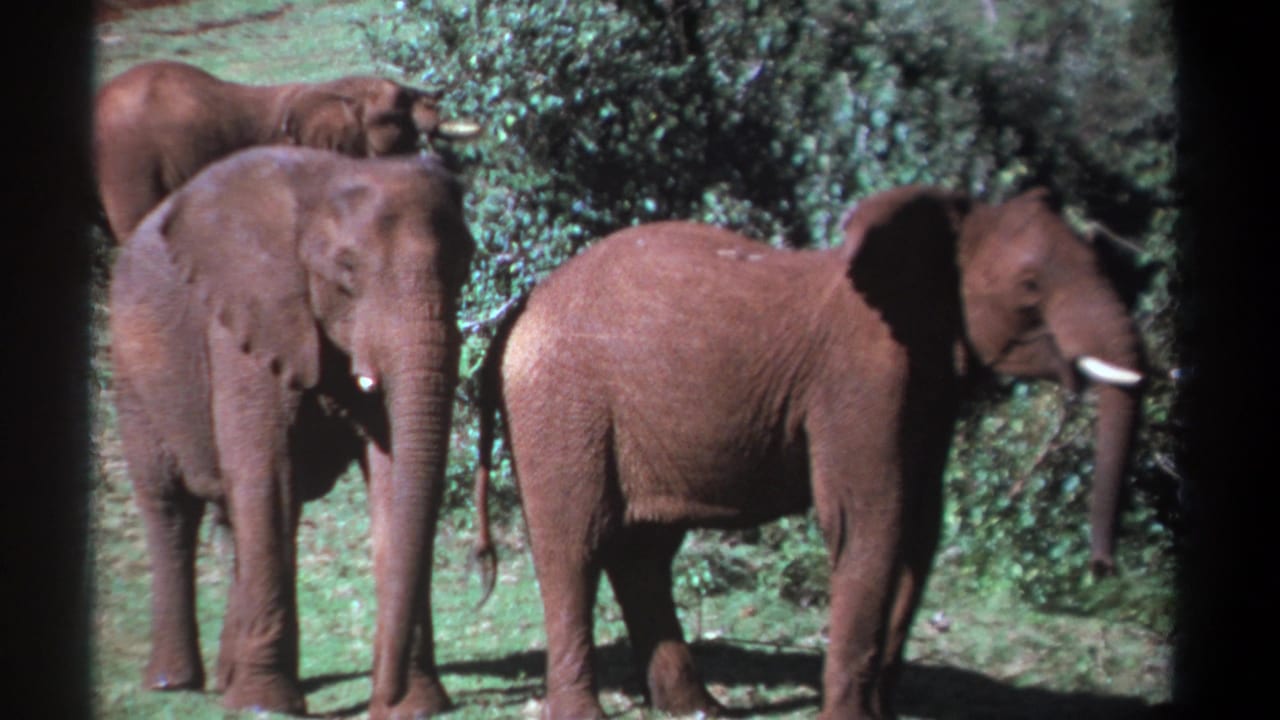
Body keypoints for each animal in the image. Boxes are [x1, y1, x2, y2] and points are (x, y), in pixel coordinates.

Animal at [109, 145, 474, 718]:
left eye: (464, 265)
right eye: (347, 270)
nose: (381, 700)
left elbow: (392, 479)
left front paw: (417, 704)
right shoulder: (246, 320)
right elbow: (267, 476)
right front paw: (265, 706)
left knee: (234, 517)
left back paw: (227, 679)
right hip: (133, 374)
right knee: (171, 508)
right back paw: (175, 683)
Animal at [468, 185, 1144, 719]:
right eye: (1031, 286)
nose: (1104, 567)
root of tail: (522, 307)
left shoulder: (925, 390)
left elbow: (918, 530)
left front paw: (880, 714)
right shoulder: (860, 382)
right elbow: (869, 522)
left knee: (644, 553)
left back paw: (700, 710)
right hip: (562, 404)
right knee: (574, 546)